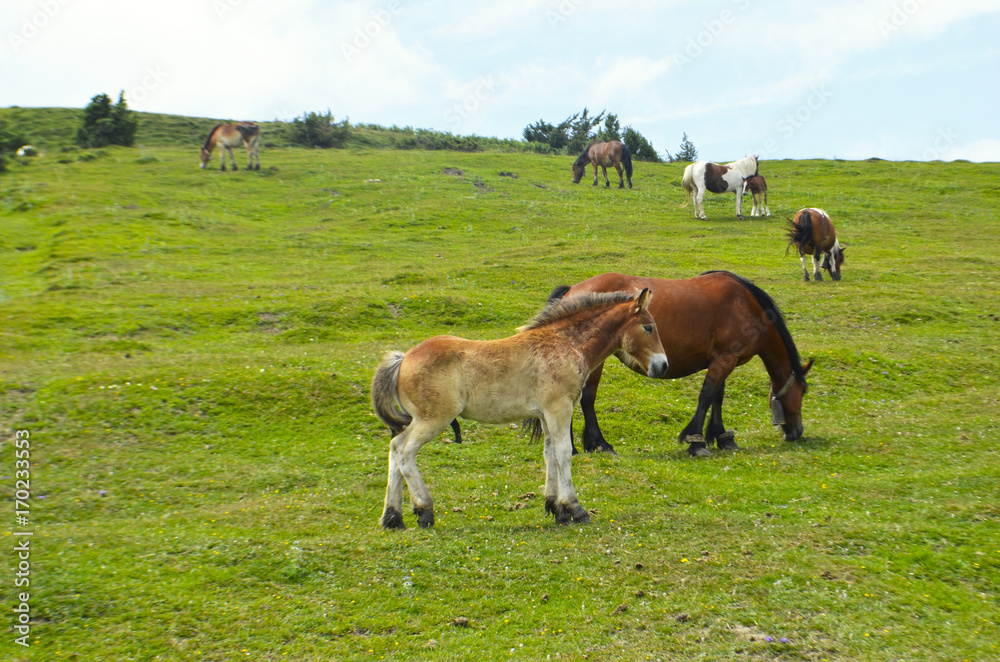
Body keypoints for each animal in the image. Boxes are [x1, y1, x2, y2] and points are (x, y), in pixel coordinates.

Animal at [372, 290, 668, 528]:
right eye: (648, 327)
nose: (663, 366)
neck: (565, 344)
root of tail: (403, 358)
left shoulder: (547, 414)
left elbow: (550, 454)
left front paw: (556, 509)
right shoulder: (559, 408)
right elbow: (564, 453)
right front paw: (575, 509)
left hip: (421, 420)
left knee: (395, 448)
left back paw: (392, 518)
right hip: (434, 419)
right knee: (405, 452)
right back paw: (424, 511)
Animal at [552, 272, 816, 460]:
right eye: (803, 391)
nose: (797, 432)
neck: (746, 305)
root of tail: (572, 291)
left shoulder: (722, 360)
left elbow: (717, 397)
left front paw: (723, 437)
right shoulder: (725, 360)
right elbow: (706, 396)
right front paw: (696, 442)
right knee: (586, 398)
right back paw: (598, 444)